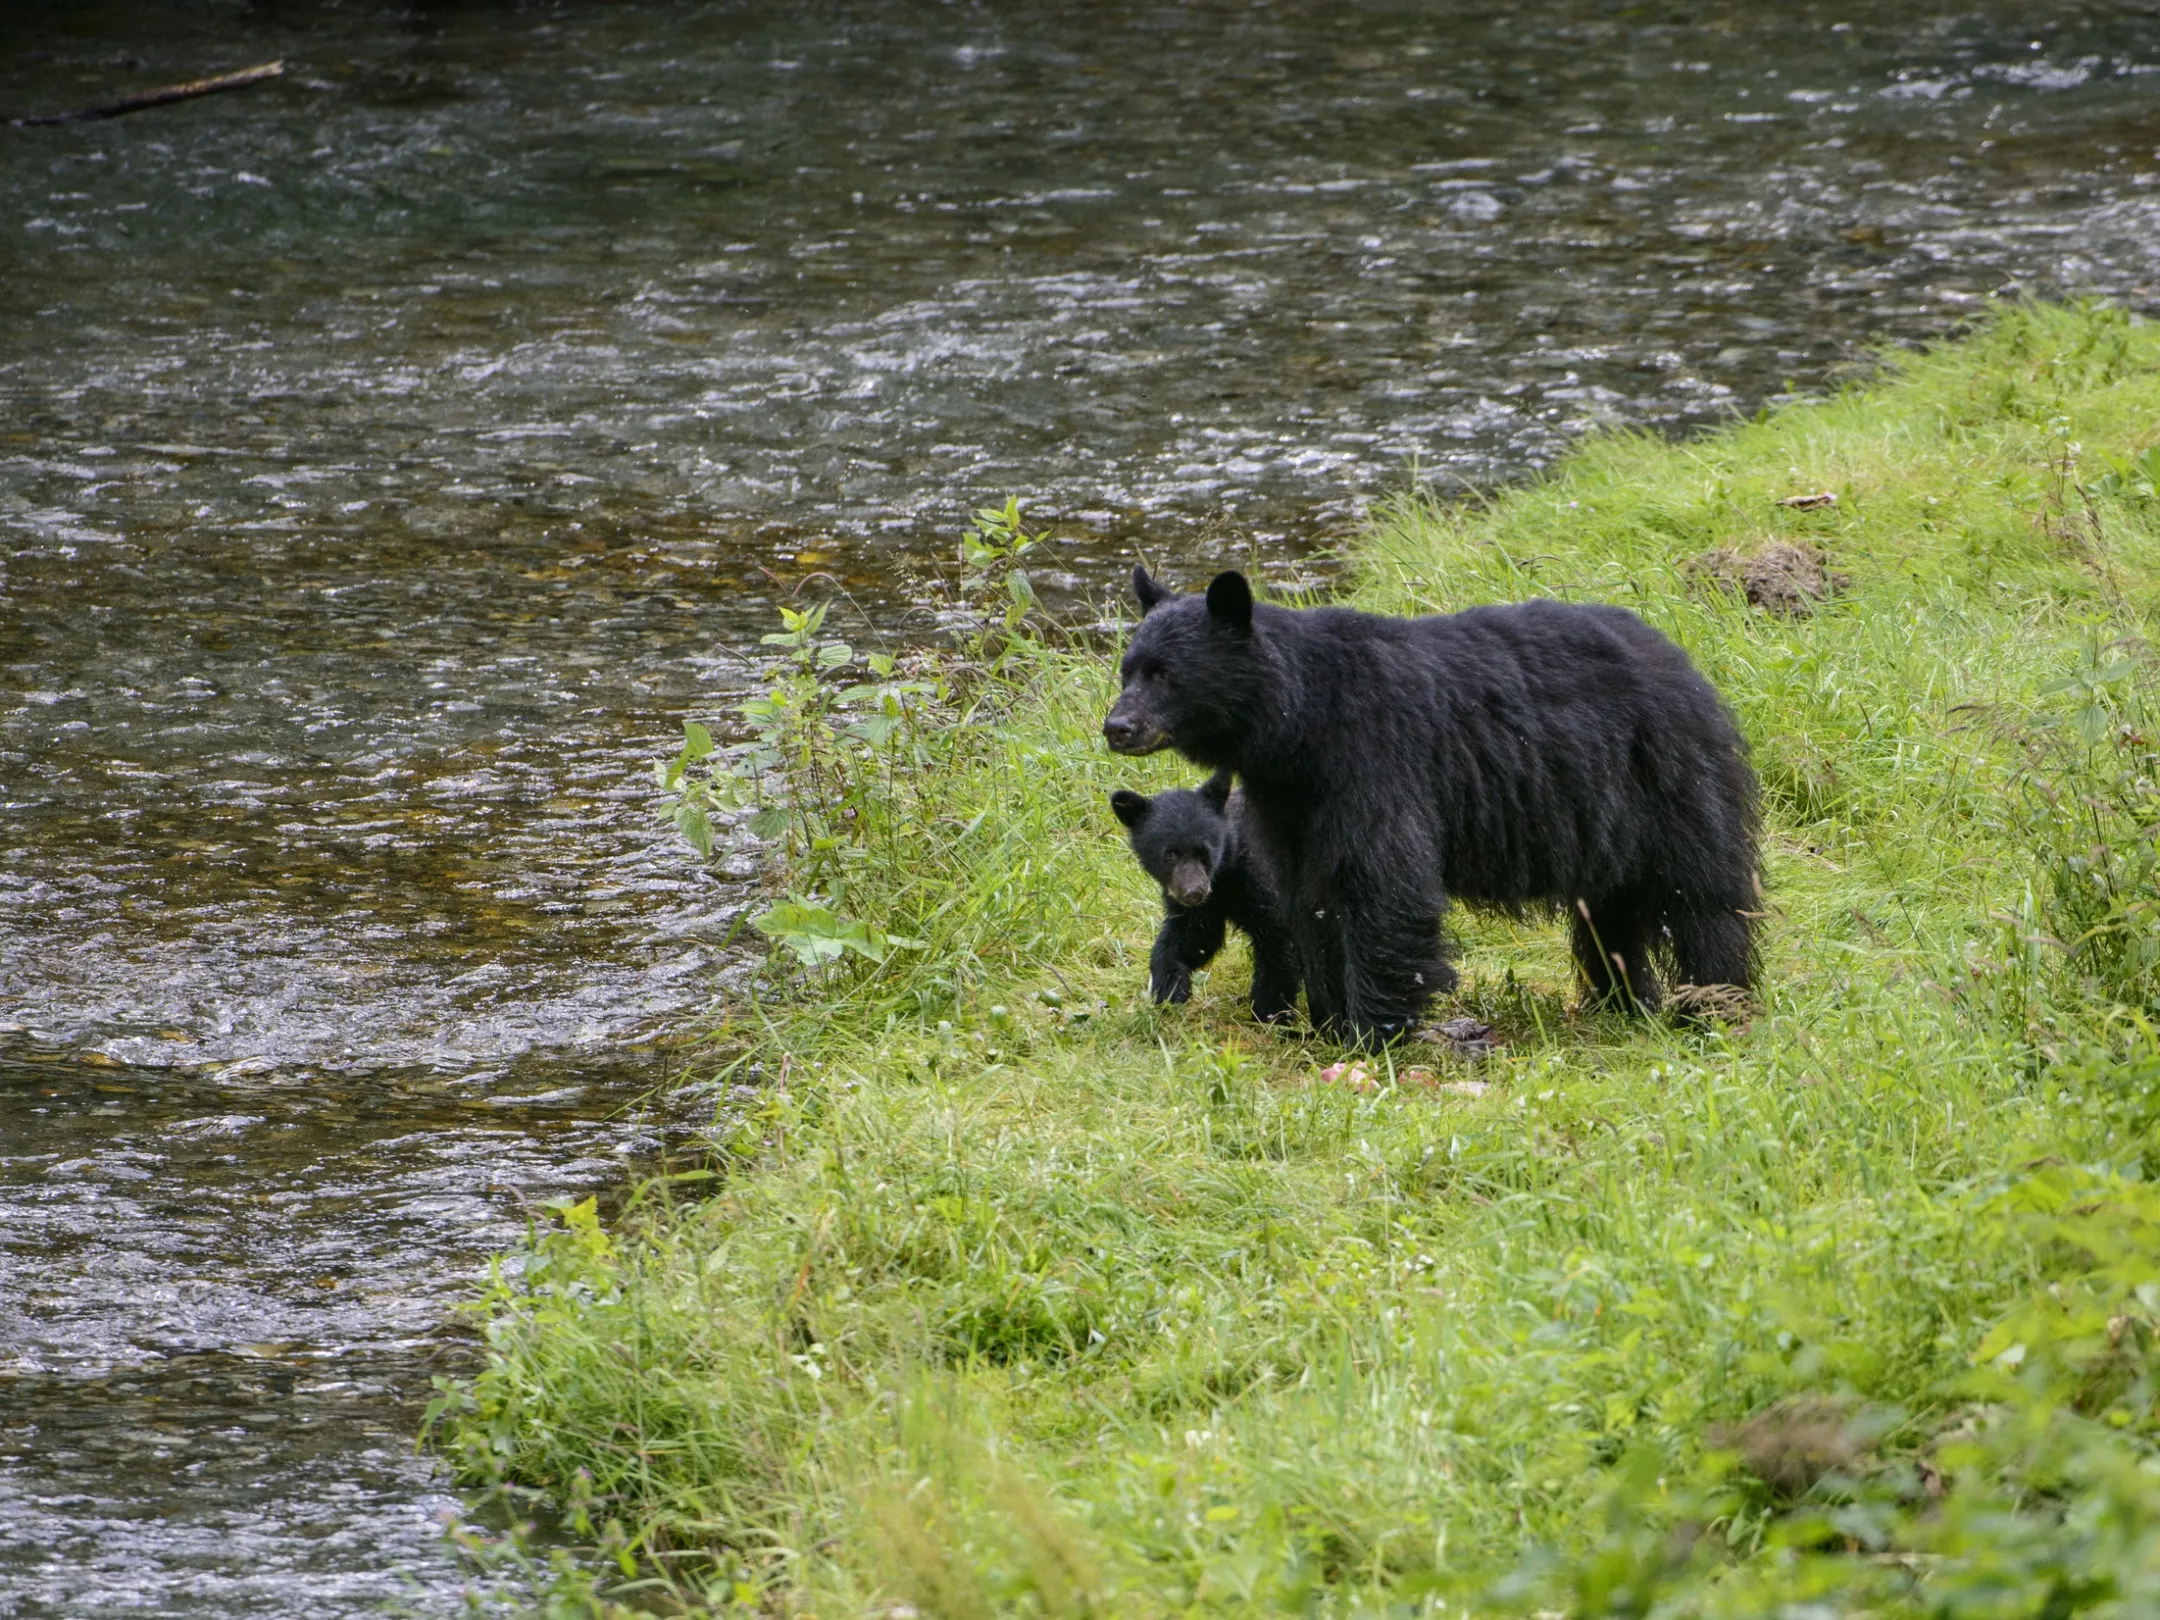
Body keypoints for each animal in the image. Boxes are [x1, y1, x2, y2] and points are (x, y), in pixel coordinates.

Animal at [1110, 771, 1300, 1023]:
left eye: (1204, 851)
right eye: (1169, 854)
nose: (1194, 892)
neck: (1224, 876)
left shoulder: (1263, 881)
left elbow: (1278, 938)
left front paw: (1271, 1012)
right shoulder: (1204, 906)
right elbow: (1194, 937)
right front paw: (1170, 989)